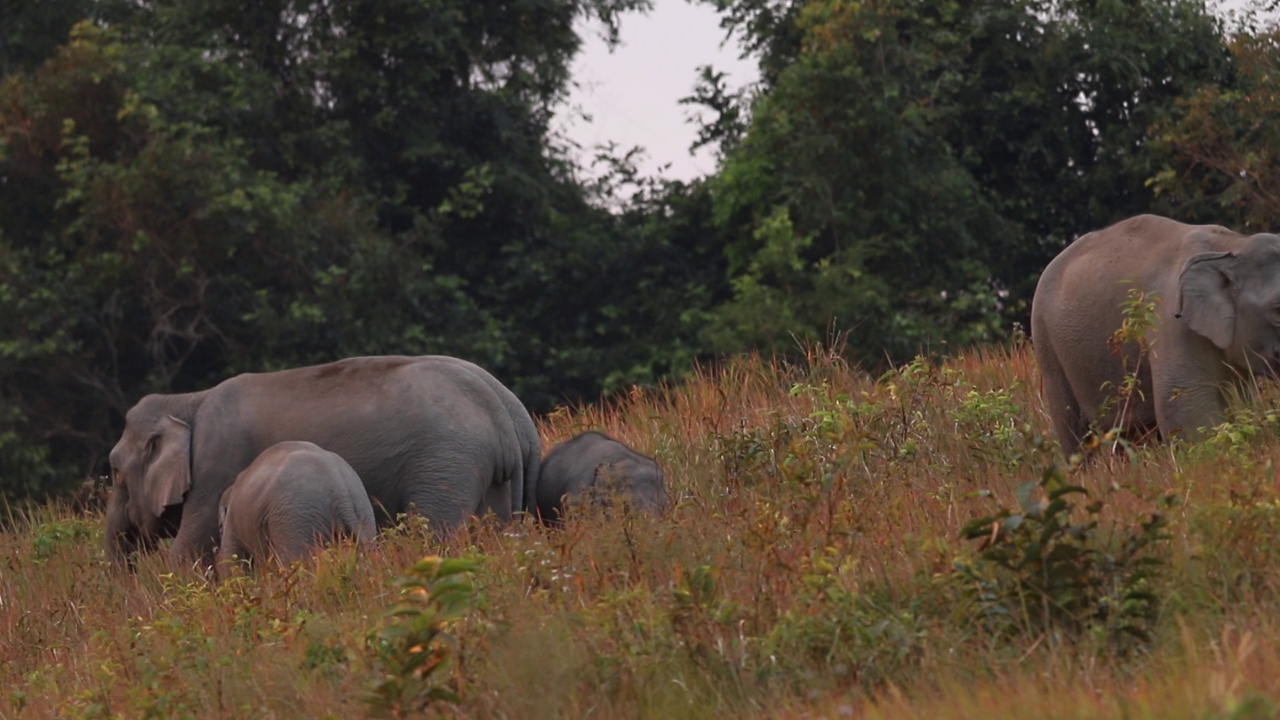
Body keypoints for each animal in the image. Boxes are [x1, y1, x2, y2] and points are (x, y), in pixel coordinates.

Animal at [213, 438, 373, 576]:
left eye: (220, 527)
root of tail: (341, 494)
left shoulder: (232, 522)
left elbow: (232, 560)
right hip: (362, 510)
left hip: (296, 520)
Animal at [1024, 212, 1280, 456]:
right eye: (1277, 309)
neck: (1232, 245)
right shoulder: (1171, 324)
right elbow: (1184, 408)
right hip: (1047, 345)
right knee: (1075, 431)